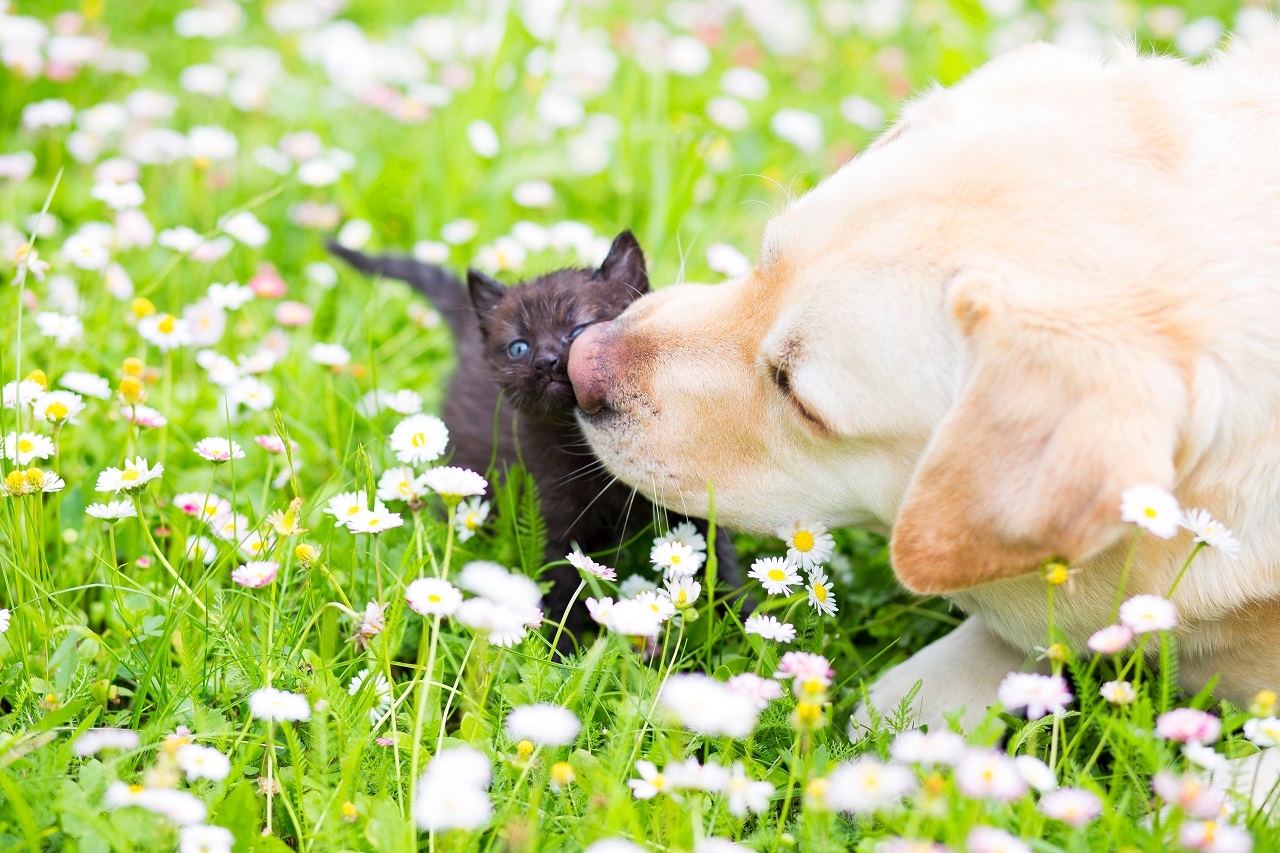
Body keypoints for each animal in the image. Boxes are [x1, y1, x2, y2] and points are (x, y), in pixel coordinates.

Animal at [330, 233, 737, 625]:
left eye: (579, 330)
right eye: (519, 348)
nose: (546, 361)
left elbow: (719, 565)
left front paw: (738, 623)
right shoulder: (548, 514)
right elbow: (561, 587)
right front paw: (562, 643)